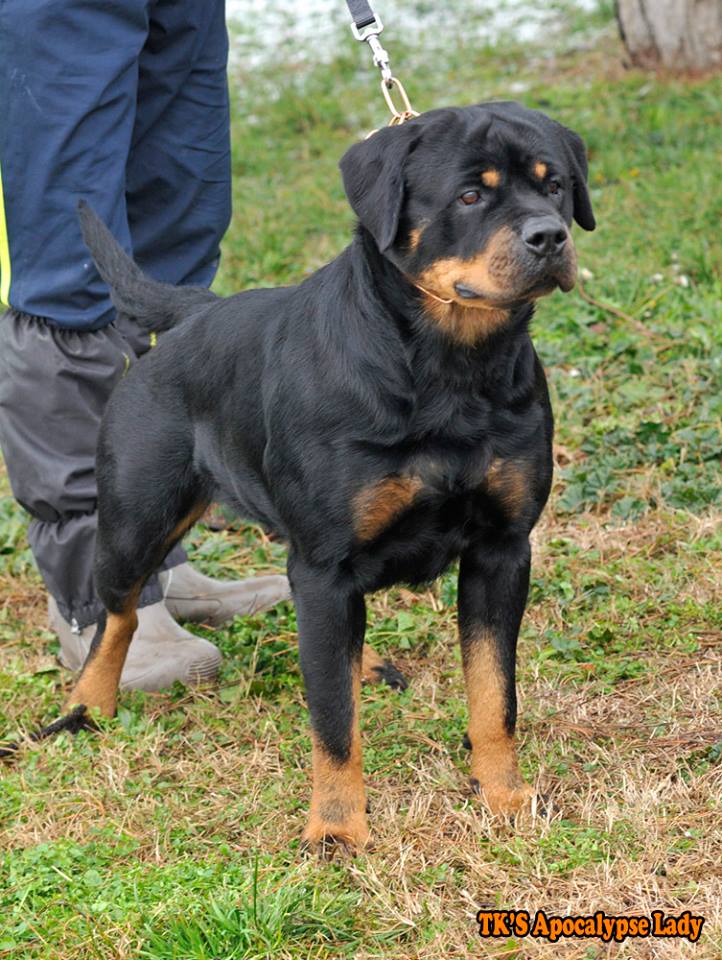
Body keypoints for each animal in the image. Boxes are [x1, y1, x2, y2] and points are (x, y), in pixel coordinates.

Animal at [14, 101, 595, 853]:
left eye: (555, 187)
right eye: (470, 196)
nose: (550, 236)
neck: (449, 371)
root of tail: (194, 314)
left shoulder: (501, 551)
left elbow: (494, 693)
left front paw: (505, 797)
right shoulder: (325, 564)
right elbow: (333, 720)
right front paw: (339, 829)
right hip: (136, 519)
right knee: (117, 614)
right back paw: (86, 708)